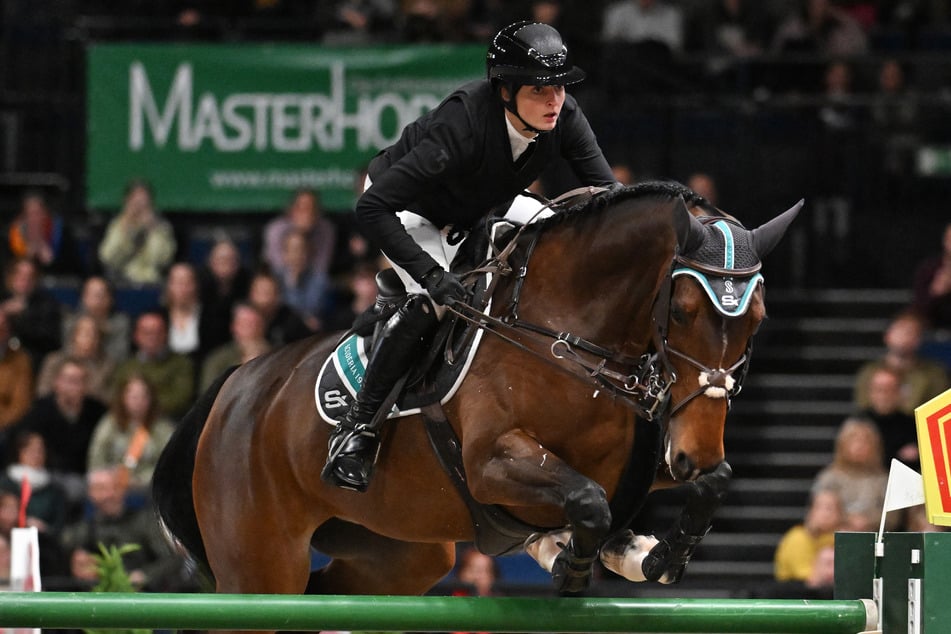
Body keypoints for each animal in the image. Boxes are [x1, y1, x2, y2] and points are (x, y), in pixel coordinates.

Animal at [152, 182, 801, 615]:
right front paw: (571, 562)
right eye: (684, 311)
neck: (571, 334)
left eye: (758, 320)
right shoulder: (491, 462)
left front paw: (658, 554)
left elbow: (709, 484)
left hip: (401, 553)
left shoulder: (649, 458)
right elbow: (587, 501)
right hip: (261, 564)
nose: (697, 452)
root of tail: (232, 388)